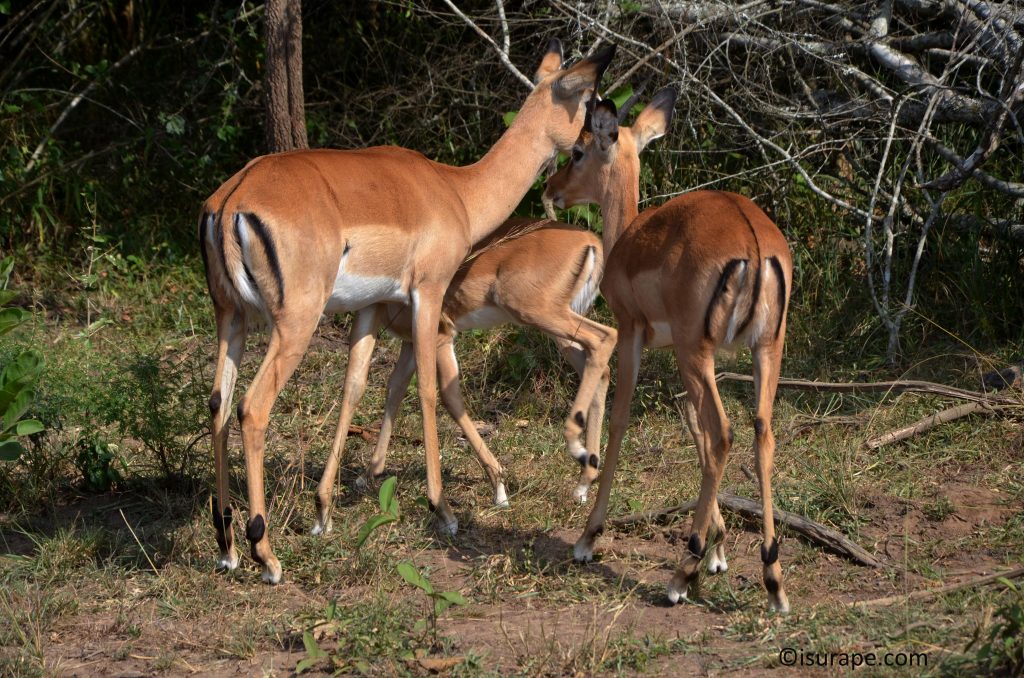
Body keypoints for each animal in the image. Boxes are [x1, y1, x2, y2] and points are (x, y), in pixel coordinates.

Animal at [331, 217, 615, 514]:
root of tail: (589, 240)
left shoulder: (441, 336)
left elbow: (449, 398)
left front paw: (499, 488)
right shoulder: (411, 344)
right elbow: (395, 389)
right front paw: (368, 474)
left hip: (541, 314)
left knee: (605, 338)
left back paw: (576, 452)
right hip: (557, 328)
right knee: (599, 367)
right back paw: (584, 480)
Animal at [544, 89, 794, 613]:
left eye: (578, 151)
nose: (552, 188)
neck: (629, 237)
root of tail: (755, 244)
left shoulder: (631, 333)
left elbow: (621, 421)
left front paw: (587, 538)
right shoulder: (687, 356)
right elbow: (692, 428)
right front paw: (718, 549)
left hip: (697, 351)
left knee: (723, 434)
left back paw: (681, 575)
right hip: (761, 351)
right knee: (760, 434)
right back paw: (772, 579)